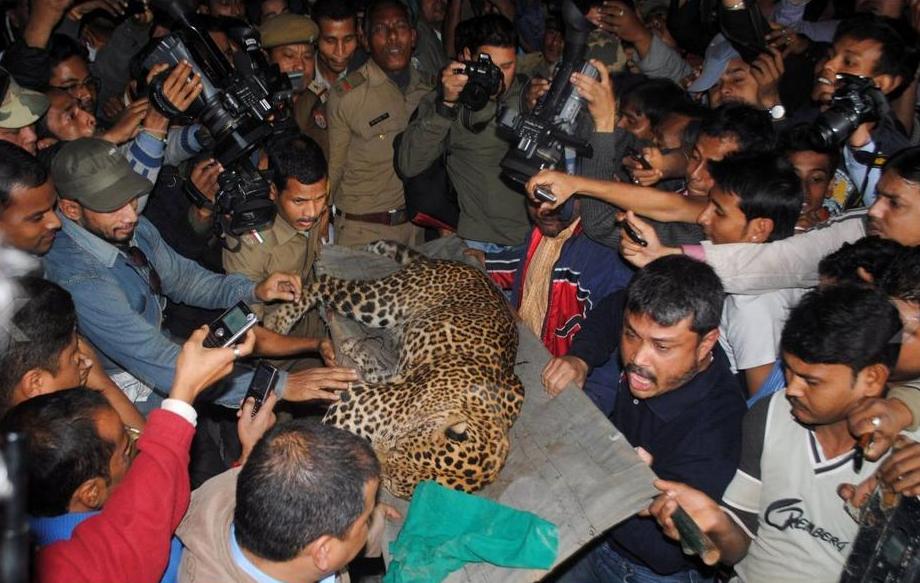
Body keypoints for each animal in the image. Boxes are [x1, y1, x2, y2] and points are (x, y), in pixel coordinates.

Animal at [264, 240, 524, 500]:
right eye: (399, 448)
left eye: (390, 483)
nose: (374, 454)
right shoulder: (351, 403)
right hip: (382, 303)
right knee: (325, 283)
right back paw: (280, 320)